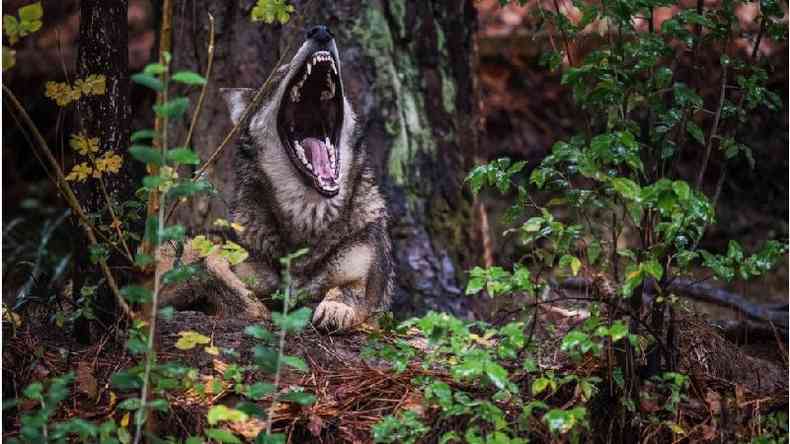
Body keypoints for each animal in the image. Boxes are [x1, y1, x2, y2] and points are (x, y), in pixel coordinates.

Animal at [159, 24, 394, 330]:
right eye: (279, 75)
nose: (321, 31)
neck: (307, 217)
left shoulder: (364, 284)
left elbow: (345, 292)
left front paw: (335, 308)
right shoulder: (233, 263)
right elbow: (226, 279)